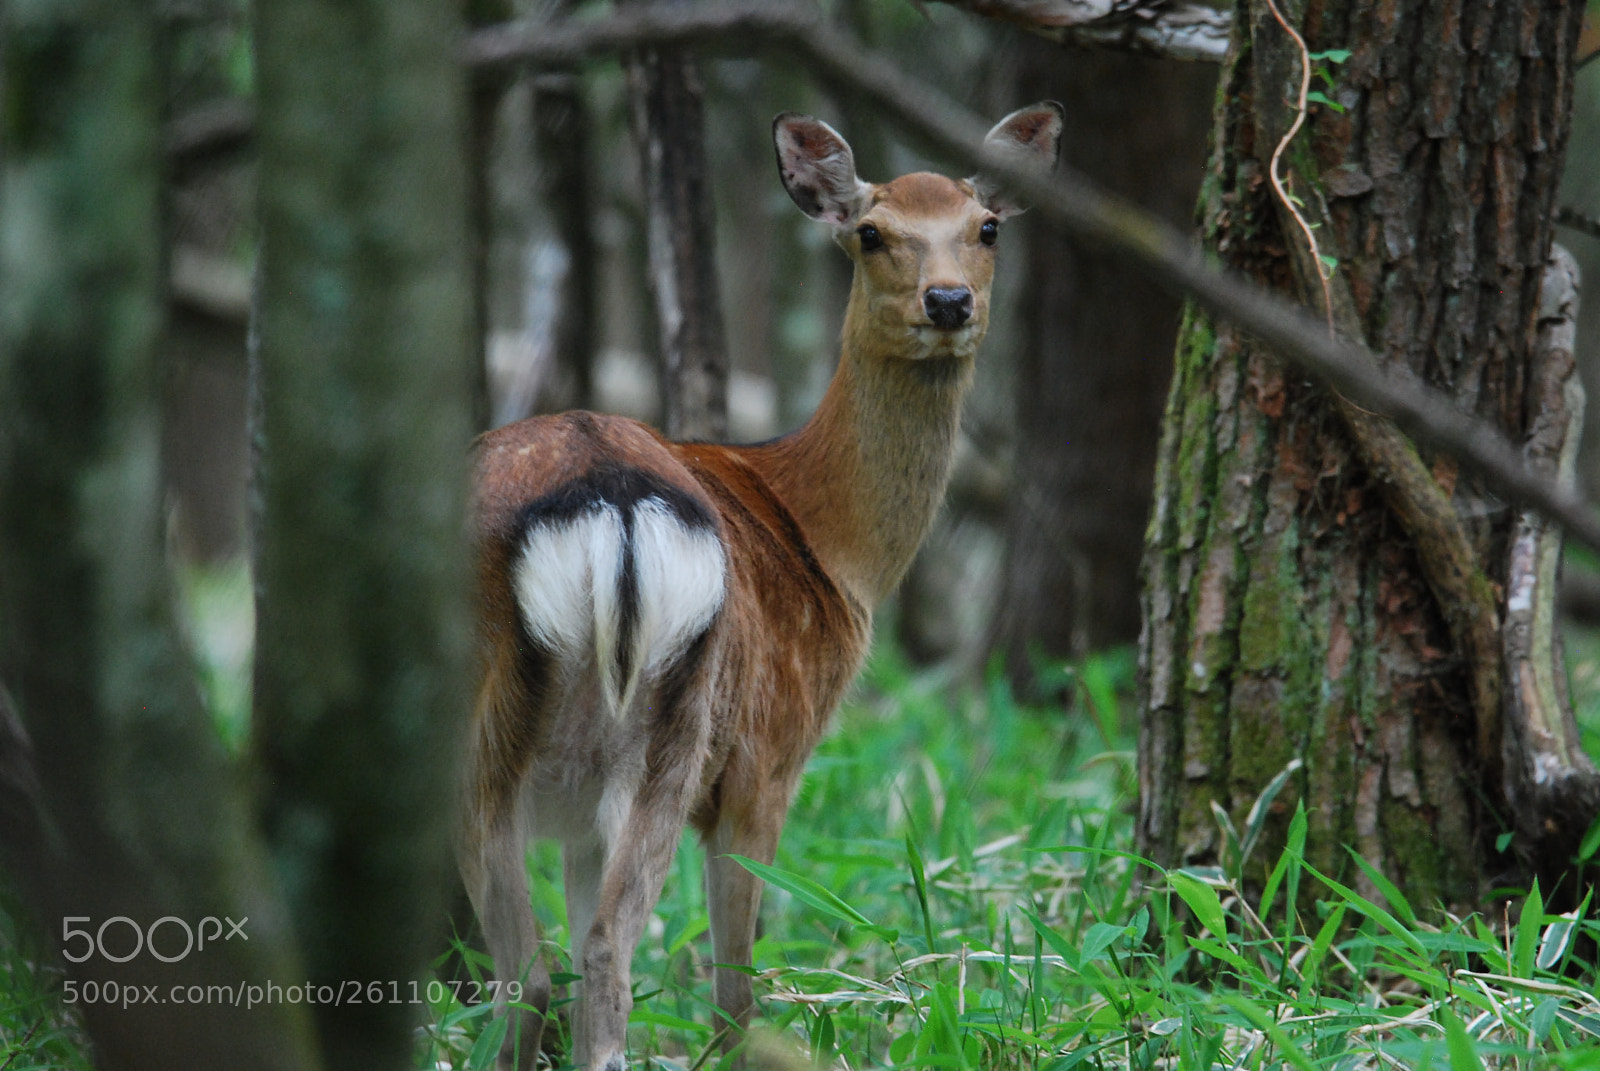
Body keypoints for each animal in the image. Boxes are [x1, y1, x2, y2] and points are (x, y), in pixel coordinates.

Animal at [462, 101, 1063, 1070]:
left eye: (987, 228)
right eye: (870, 232)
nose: (948, 301)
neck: (833, 546)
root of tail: (610, 501)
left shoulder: (590, 811)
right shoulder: (770, 756)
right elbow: (736, 992)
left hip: (621, 739)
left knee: (561, 963)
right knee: (586, 967)